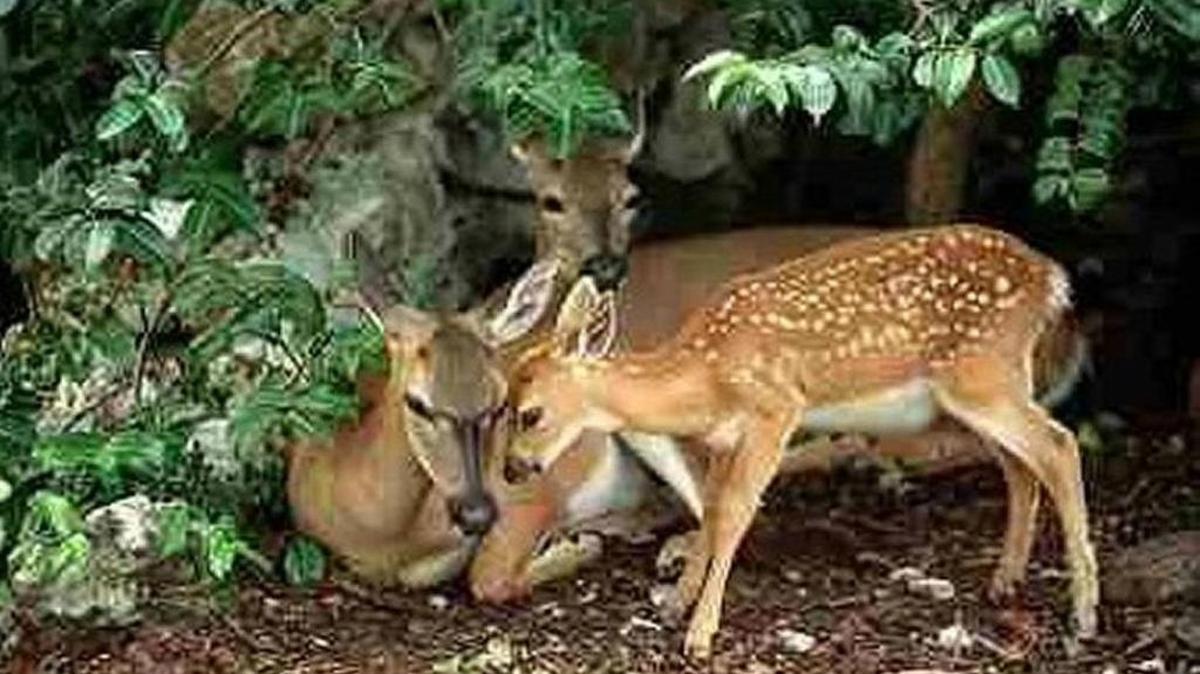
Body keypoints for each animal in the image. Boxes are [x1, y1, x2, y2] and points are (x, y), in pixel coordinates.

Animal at [501, 224, 1100, 659]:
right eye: (503, 402)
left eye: (530, 414)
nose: (512, 469)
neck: (705, 374)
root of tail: (1050, 277)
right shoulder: (723, 439)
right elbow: (711, 509)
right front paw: (676, 602)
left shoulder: (776, 409)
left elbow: (736, 512)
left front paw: (700, 633)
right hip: (978, 389)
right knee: (1021, 465)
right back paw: (1005, 583)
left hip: (983, 373)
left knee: (1060, 444)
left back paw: (1084, 614)